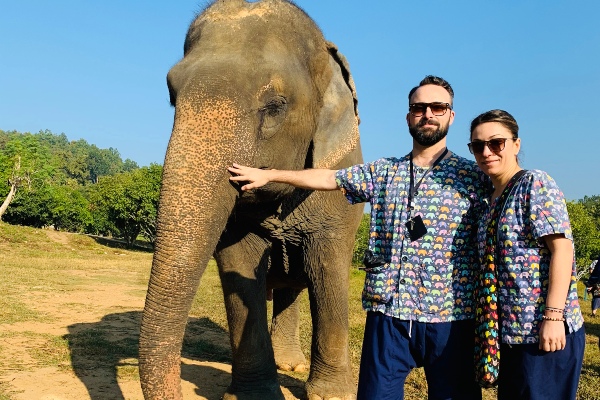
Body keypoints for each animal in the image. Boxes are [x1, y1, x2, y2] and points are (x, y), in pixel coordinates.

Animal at [139, 0, 364, 398]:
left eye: (274, 106)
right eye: (171, 95)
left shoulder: (340, 190)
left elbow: (328, 267)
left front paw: (332, 395)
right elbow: (239, 263)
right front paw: (253, 394)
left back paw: (292, 365)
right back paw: (286, 363)